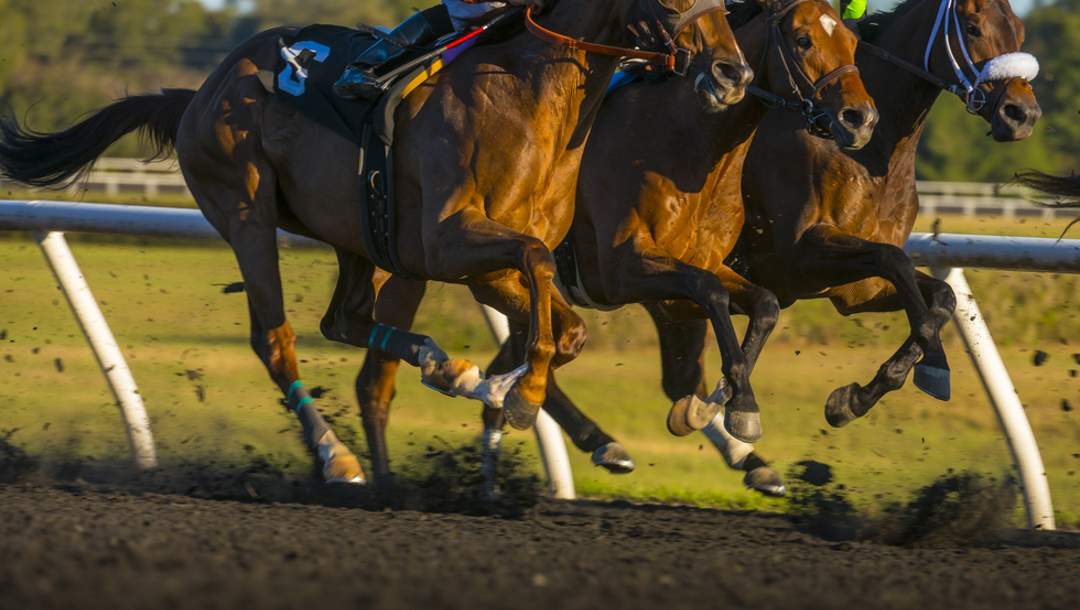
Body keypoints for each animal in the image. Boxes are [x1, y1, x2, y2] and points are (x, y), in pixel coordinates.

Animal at [0, 0, 751, 485]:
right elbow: (541, 277)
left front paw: (498, 385)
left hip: (360, 235)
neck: (529, 97)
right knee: (275, 340)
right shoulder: (453, 243)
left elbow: (563, 326)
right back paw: (339, 457)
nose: (731, 73)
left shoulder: (483, 259)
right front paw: (519, 393)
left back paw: (444, 367)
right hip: (244, 211)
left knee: (346, 320)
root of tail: (197, 94)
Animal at [352, 0, 876, 491]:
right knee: (376, 381)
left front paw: (721, 407)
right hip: (412, 266)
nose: (860, 119)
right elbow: (710, 296)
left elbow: (760, 305)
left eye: (852, 42)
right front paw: (729, 408)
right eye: (803, 39)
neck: (689, 138)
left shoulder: (699, 269)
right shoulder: (626, 268)